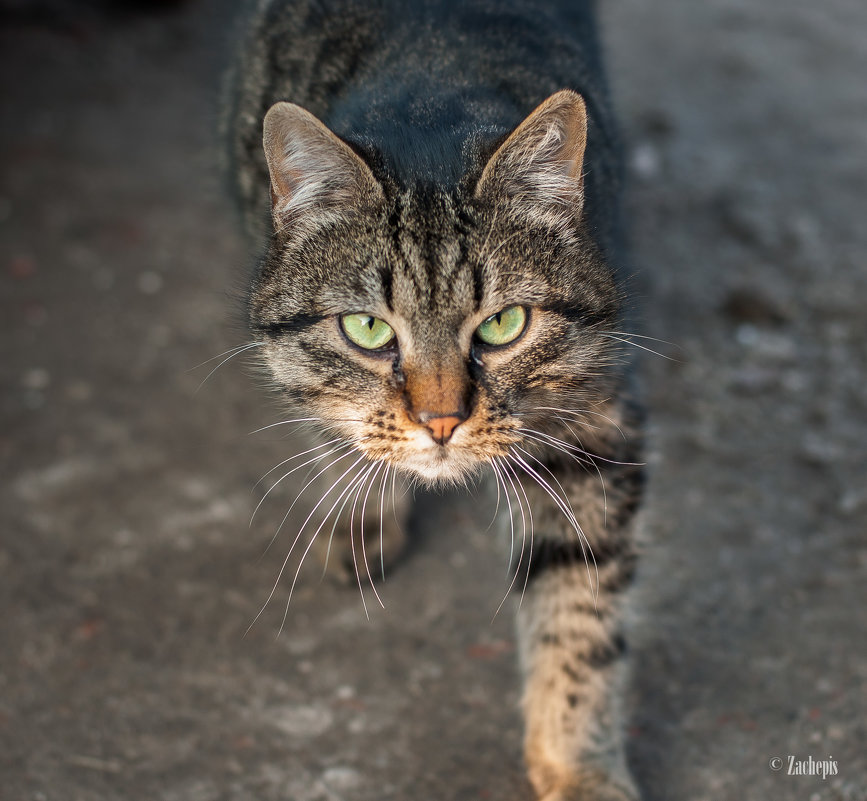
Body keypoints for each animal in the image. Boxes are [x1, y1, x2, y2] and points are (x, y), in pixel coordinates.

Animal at [224, 1, 644, 800]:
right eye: (367, 330)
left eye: (503, 324)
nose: (442, 420)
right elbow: (334, 425)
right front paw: (362, 511)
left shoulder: (592, 425)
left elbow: (579, 612)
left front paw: (576, 763)